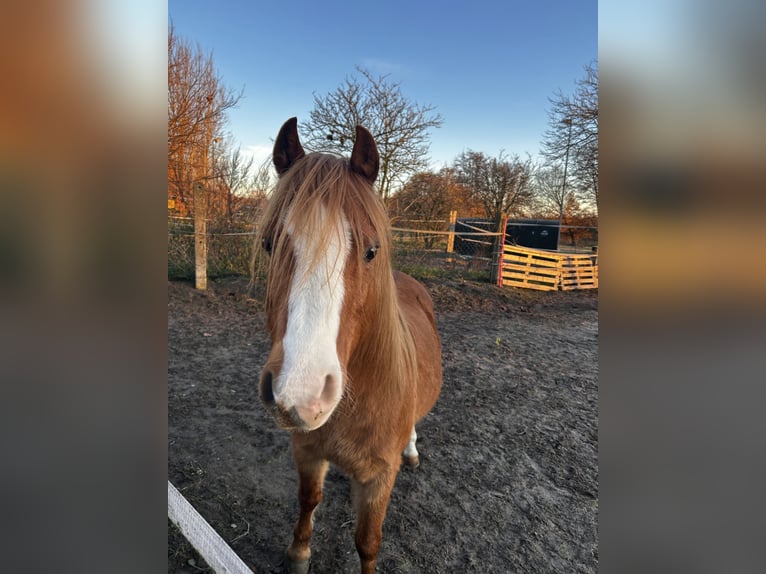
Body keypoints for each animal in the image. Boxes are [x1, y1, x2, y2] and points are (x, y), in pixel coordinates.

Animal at [255, 118, 440, 574]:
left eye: (372, 250)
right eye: (270, 244)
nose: (300, 395)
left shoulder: (379, 478)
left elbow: (367, 542)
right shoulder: (305, 450)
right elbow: (309, 500)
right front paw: (299, 553)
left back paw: (413, 450)